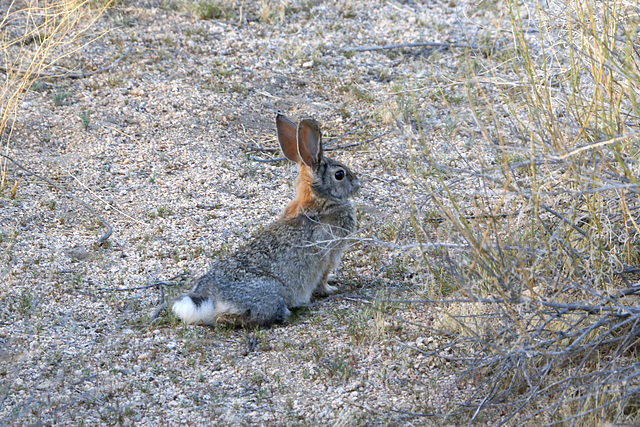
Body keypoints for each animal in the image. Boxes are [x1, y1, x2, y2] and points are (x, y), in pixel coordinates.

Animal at [170, 113, 360, 328]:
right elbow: (323, 277)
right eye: (339, 174)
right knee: (228, 318)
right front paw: (330, 289)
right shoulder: (329, 253)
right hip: (271, 296)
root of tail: (210, 298)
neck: (319, 202)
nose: (358, 183)